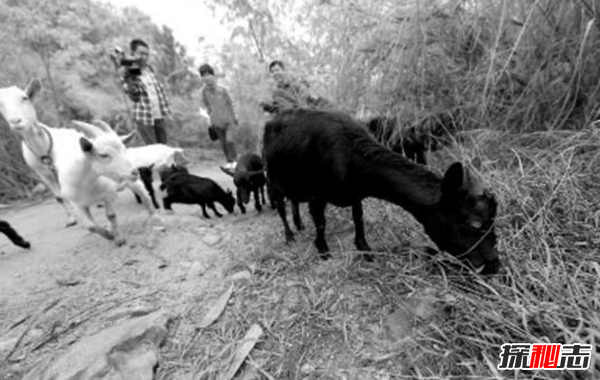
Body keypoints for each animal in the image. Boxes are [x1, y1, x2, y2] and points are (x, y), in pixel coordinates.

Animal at [0, 78, 157, 245]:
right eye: (103, 155)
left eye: (124, 149)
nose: (134, 171)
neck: (85, 182)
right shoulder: (77, 203)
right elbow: (90, 225)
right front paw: (108, 235)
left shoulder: (106, 195)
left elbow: (111, 215)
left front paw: (118, 238)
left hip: (133, 183)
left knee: (145, 196)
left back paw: (155, 218)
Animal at [262, 108, 502, 274]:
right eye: (475, 224)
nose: (494, 265)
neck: (349, 158)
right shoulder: (318, 194)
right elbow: (321, 222)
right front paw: (323, 250)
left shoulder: (355, 194)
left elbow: (358, 218)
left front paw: (365, 249)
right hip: (272, 181)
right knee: (282, 208)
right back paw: (289, 235)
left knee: (293, 202)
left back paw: (299, 225)